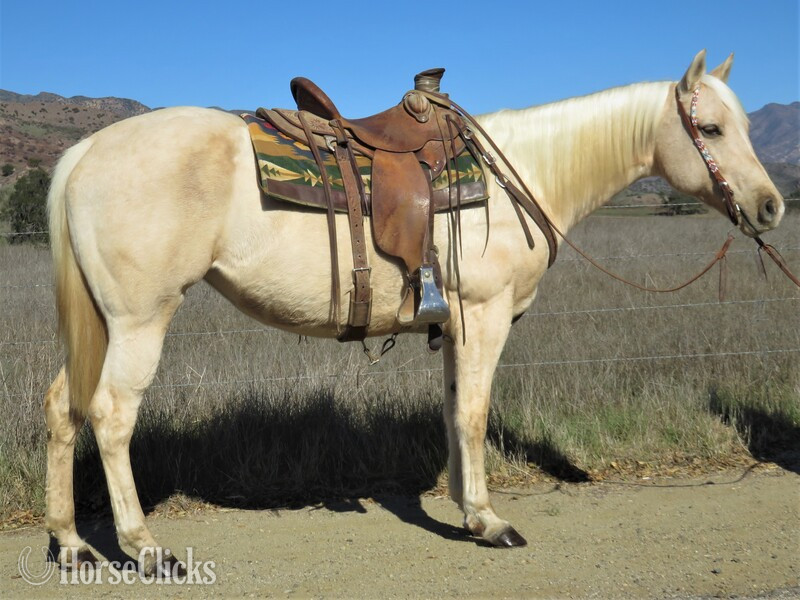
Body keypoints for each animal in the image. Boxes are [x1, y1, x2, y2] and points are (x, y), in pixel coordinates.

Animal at [44, 50, 784, 573]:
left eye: (746, 125)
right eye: (710, 128)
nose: (772, 205)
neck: (521, 176)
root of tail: (85, 150)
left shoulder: (456, 326)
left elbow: (456, 411)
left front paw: (467, 511)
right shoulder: (484, 317)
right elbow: (474, 414)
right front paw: (490, 521)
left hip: (102, 324)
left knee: (63, 407)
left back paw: (72, 543)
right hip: (141, 320)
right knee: (111, 415)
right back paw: (144, 547)